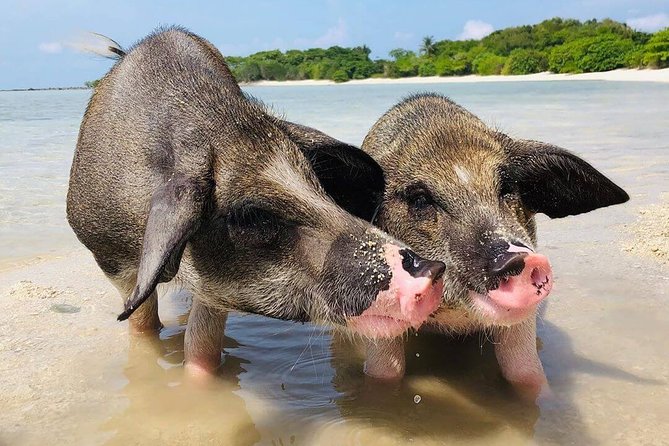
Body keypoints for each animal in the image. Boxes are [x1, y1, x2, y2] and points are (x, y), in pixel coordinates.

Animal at [66, 28, 446, 377]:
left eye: (317, 183)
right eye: (251, 217)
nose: (431, 268)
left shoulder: (214, 289)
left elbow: (201, 342)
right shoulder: (109, 259)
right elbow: (142, 322)